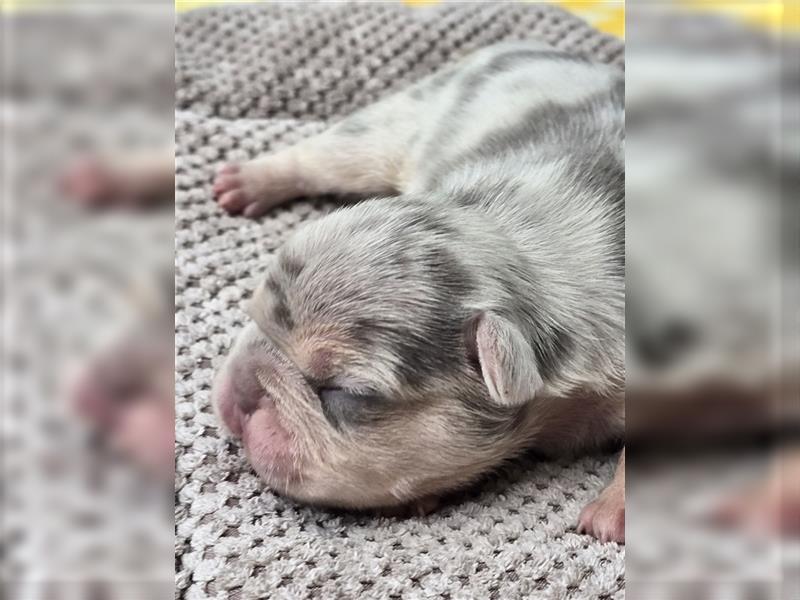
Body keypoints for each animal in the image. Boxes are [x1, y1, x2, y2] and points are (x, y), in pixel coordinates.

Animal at [211, 39, 624, 540]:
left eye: (345, 392)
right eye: (251, 317)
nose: (239, 394)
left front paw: (610, 515)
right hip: (391, 124)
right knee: (321, 156)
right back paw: (244, 182)